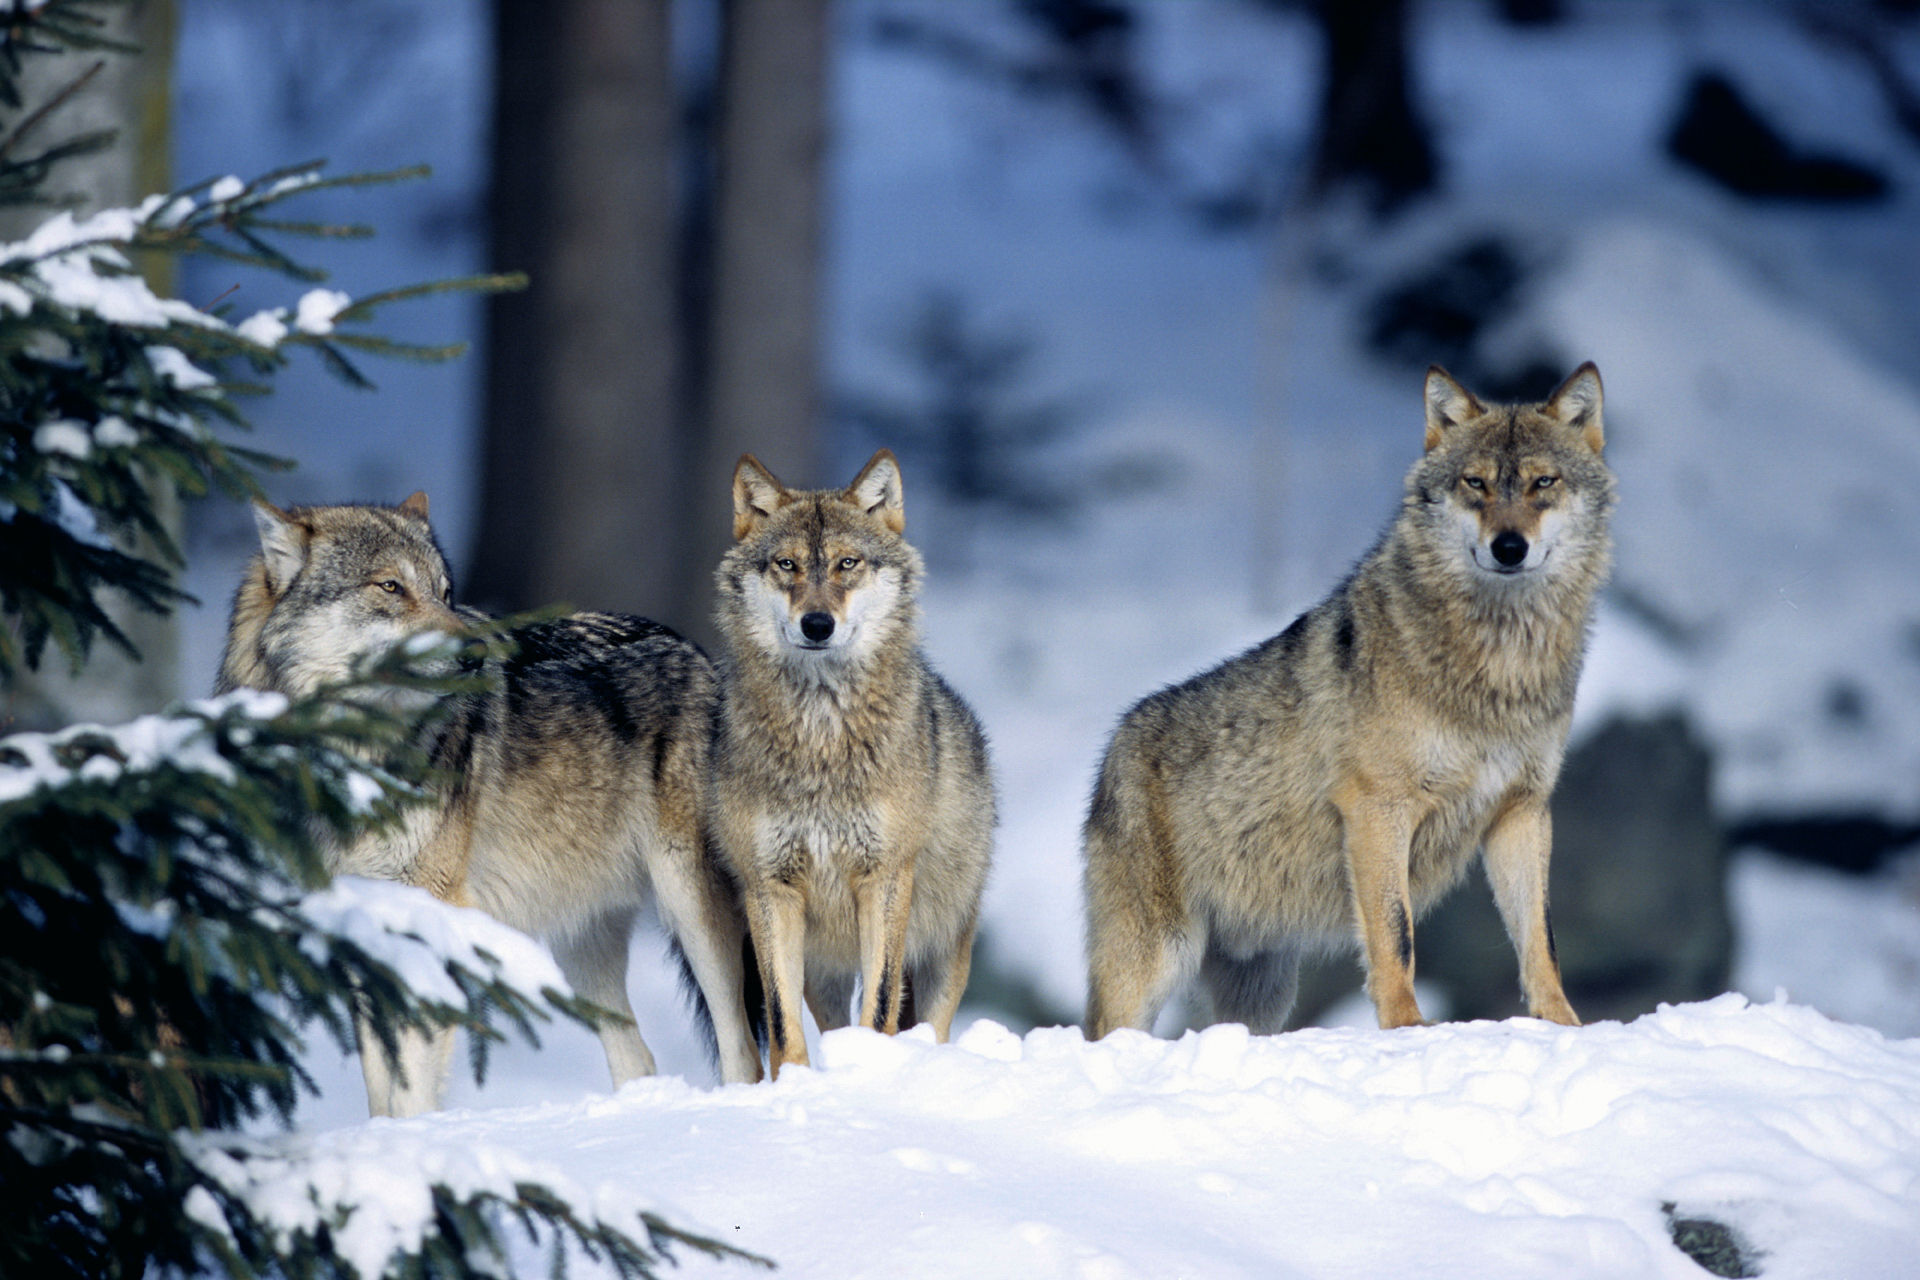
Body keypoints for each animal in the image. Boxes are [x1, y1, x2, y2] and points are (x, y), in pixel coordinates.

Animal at [217, 492, 761, 1114]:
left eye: (444, 592)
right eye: (390, 587)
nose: (477, 651)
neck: (351, 766)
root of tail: (698, 652)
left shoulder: (431, 911)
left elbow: (411, 1087)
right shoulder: (359, 933)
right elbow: (382, 1089)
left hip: (692, 909)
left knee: (743, 1050)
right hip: (582, 947)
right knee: (637, 1059)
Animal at [711, 449, 995, 1079]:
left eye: (848, 563)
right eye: (787, 565)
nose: (818, 624)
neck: (822, 736)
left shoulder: (884, 876)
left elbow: (883, 1000)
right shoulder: (769, 887)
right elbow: (779, 1020)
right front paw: (794, 1084)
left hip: (943, 949)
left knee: (929, 1022)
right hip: (823, 972)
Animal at [1083, 363, 1615, 1038]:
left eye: (1543, 482)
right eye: (1475, 483)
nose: (1509, 547)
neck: (1497, 668)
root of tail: (1112, 749)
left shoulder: (1522, 811)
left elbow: (1540, 939)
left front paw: (1565, 1027)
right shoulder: (1378, 810)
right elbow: (1396, 935)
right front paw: (1408, 1029)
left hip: (1262, 992)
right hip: (1153, 965)